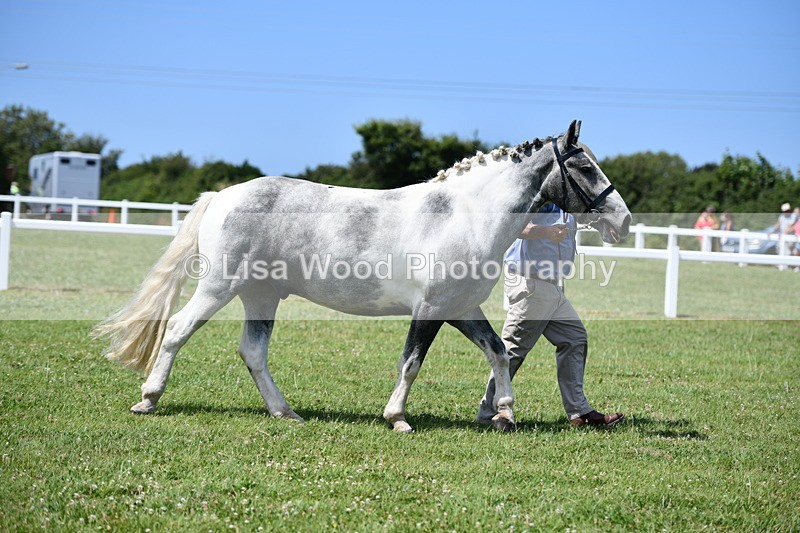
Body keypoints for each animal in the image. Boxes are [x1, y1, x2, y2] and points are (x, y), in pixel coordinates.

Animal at [94, 120, 631, 433]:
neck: (464, 215)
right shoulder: (430, 309)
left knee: (252, 352)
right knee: (177, 330)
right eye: (584, 166)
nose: (622, 221)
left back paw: (286, 413)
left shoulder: (460, 308)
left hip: (261, 296)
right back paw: (148, 400)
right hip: (218, 287)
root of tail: (222, 195)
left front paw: (505, 411)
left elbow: (499, 351)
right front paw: (397, 419)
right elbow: (411, 363)